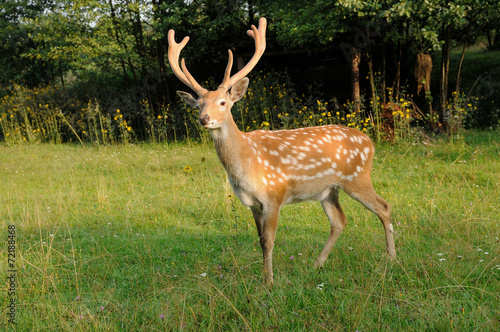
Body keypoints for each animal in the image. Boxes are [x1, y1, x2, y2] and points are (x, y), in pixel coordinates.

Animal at [167, 16, 394, 286]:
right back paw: (316, 265)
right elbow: (259, 241)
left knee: (384, 208)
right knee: (340, 221)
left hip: (358, 177)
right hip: (328, 190)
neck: (247, 163)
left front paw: (269, 282)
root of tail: (370, 142)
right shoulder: (252, 204)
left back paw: (392, 260)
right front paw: (264, 277)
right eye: (198, 104)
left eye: (223, 102)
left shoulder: (274, 196)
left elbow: (269, 241)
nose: (204, 119)